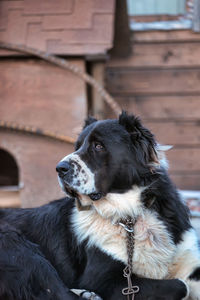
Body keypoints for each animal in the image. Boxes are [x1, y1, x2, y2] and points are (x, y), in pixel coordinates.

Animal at [0, 113, 199, 300]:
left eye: (98, 146)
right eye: (77, 146)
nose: (59, 168)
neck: (129, 215)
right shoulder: (107, 282)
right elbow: (181, 285)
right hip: (18, 247)